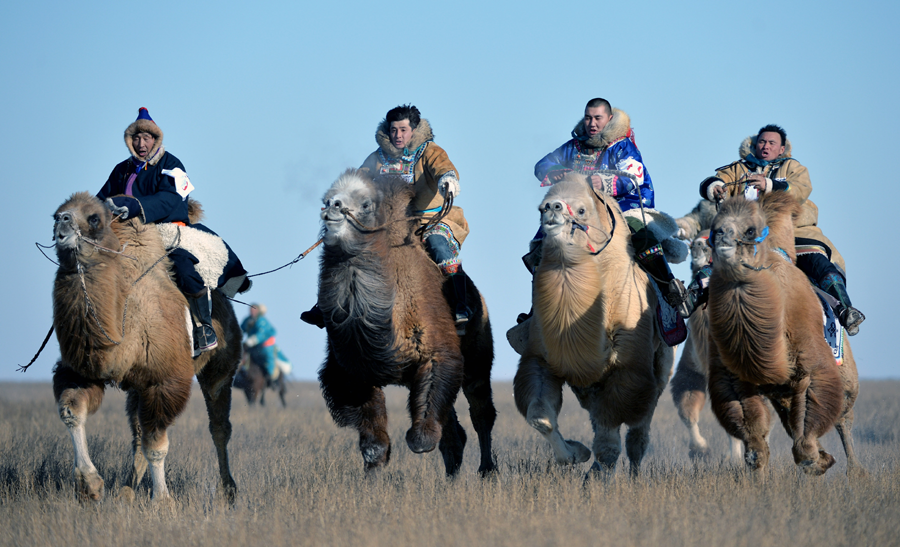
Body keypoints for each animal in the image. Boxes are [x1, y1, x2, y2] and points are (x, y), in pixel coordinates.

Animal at [51, 194, 243, 506]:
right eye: (55, 213)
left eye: (94, 218)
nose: (61, 222)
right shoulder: (85, 369)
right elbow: (72, 411)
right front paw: (90, 485)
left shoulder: (164, 379)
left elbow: (157, 444)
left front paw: (162, 502)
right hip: (137, 387)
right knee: (137, 435)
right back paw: (126, 491)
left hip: (221, 366)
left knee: (218, 426)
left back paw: (228, 491)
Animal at [314, 169, 500, 478]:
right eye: (325, 198)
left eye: (365, 204)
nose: (333, 207)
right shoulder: (351, 373)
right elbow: (374, 444)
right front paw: (372, 478)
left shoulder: (438, 354)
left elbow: (422, 438)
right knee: (454, 430)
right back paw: (452, 476)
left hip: (478, 357)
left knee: (481, 412)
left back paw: (487, 470)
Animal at [510, 176, 672, 480]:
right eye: (540, 208)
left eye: (582, 210)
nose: (551, 208)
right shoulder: (540, 357)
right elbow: (540, 416)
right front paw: (576, 454)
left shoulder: (630, 366)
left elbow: (610, 432)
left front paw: (596, 475)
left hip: (662, 364)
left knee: (638, 429)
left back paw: (633, 474)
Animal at [668, 231, 744, 462]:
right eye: (695, 242)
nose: (697, 246)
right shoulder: (693, 365)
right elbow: (686, 405)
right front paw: (700, 449)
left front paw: (736, 458)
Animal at [708, 195, 860, 478]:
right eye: (714, 227)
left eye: (750, 230)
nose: (723, 237)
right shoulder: (734, 378)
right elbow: (755, 440)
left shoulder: (813, 364)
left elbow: (810, 423)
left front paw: (816, 459)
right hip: (783, 391)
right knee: (793, 416)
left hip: (845, 375)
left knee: (843, 417)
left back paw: (856, 472)